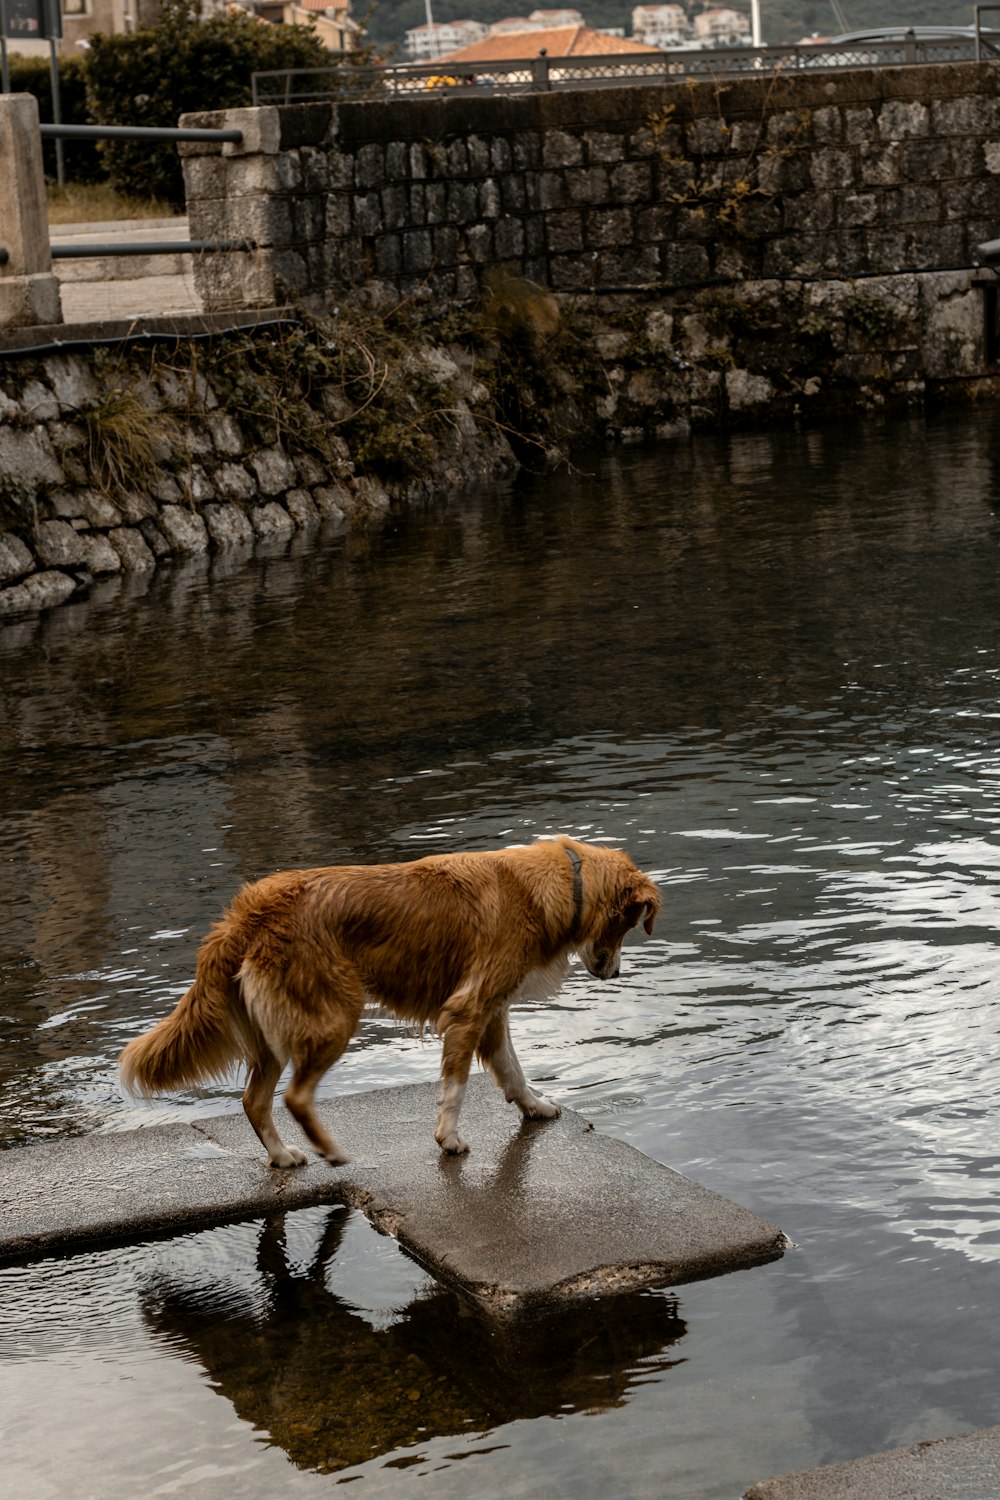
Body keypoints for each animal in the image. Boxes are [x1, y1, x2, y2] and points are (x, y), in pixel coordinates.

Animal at [119, 834, 656, 1170]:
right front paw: (449, 1139)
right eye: (629, 924)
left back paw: (283, 1156)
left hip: (274, 1032)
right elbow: (456, 1086)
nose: (615, 972)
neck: (561, 885)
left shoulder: (493, 1010)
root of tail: (249, 910)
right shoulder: (468, 1010)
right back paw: (331, 1152)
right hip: (334, 1016)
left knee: (254, 1101)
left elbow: (512, 1070)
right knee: (294, 1097)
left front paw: (535, 1106)